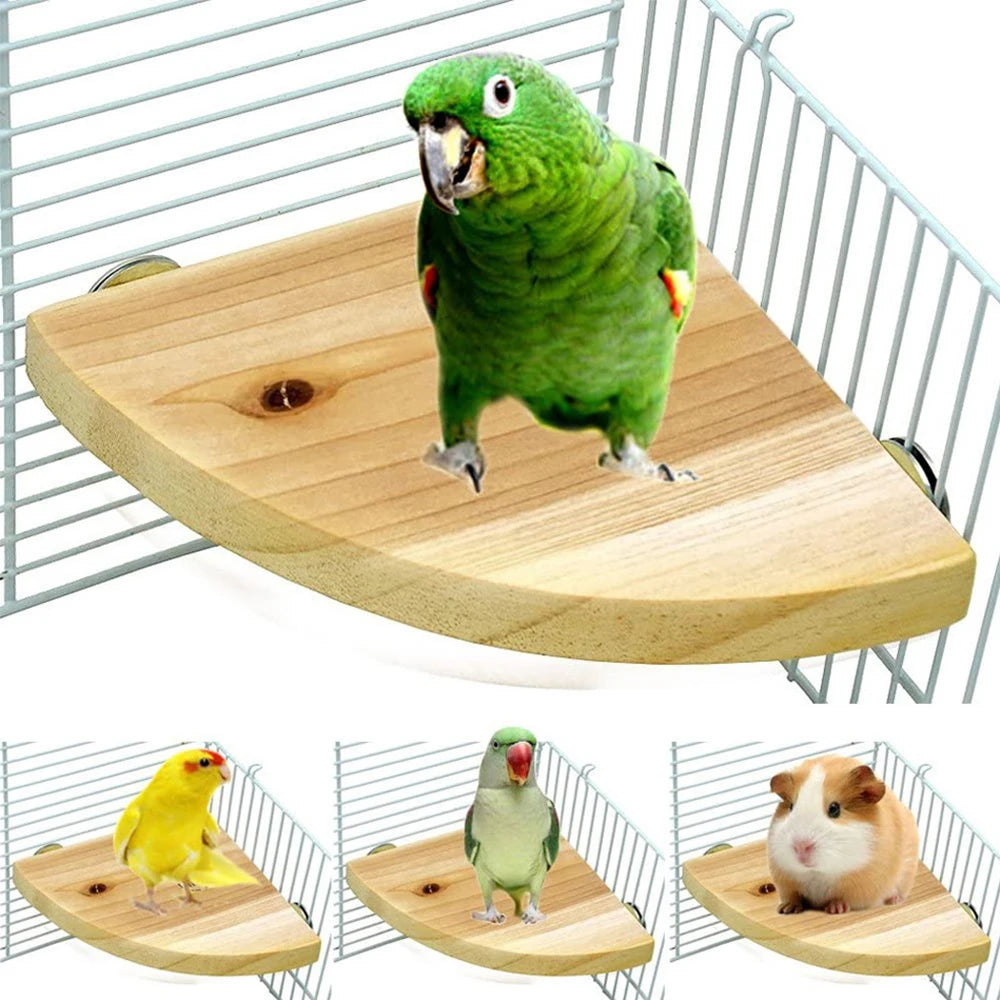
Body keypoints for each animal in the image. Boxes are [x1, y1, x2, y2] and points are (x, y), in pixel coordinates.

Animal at [767, 755, 919, 915]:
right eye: (791, 807)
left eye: (834, 809)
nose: (801, 847)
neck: (817, 873)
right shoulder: (786, 881)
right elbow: (794, 896)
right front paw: (786, 909)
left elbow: (842, 898)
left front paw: (835, 909)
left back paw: (894, 901)